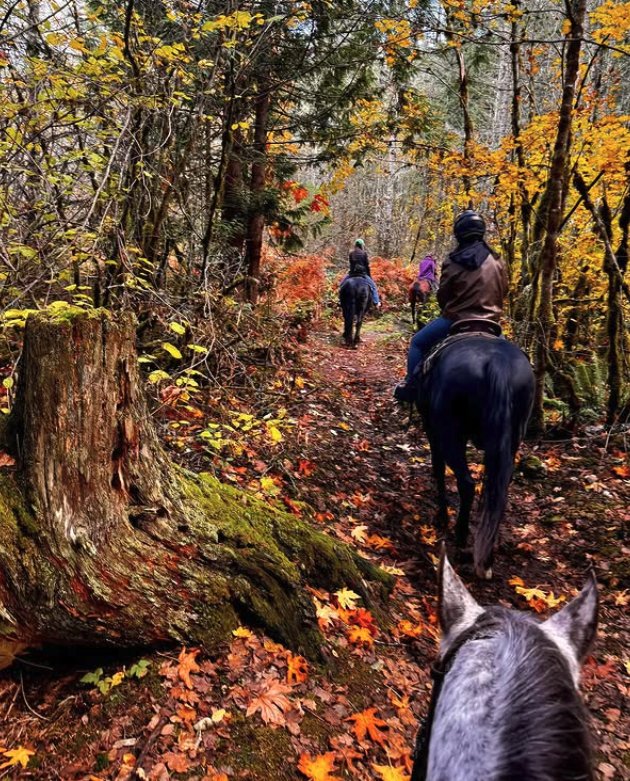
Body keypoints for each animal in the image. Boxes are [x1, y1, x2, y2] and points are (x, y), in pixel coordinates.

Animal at [419, 331, 535, 579]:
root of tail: (498, 363)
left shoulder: (432, 430)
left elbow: (438, 468)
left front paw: (441, 517)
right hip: (512, 441)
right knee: (499, 490)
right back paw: (487, 555)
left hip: (451, 433)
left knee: (466, 483)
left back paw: (461, 536)